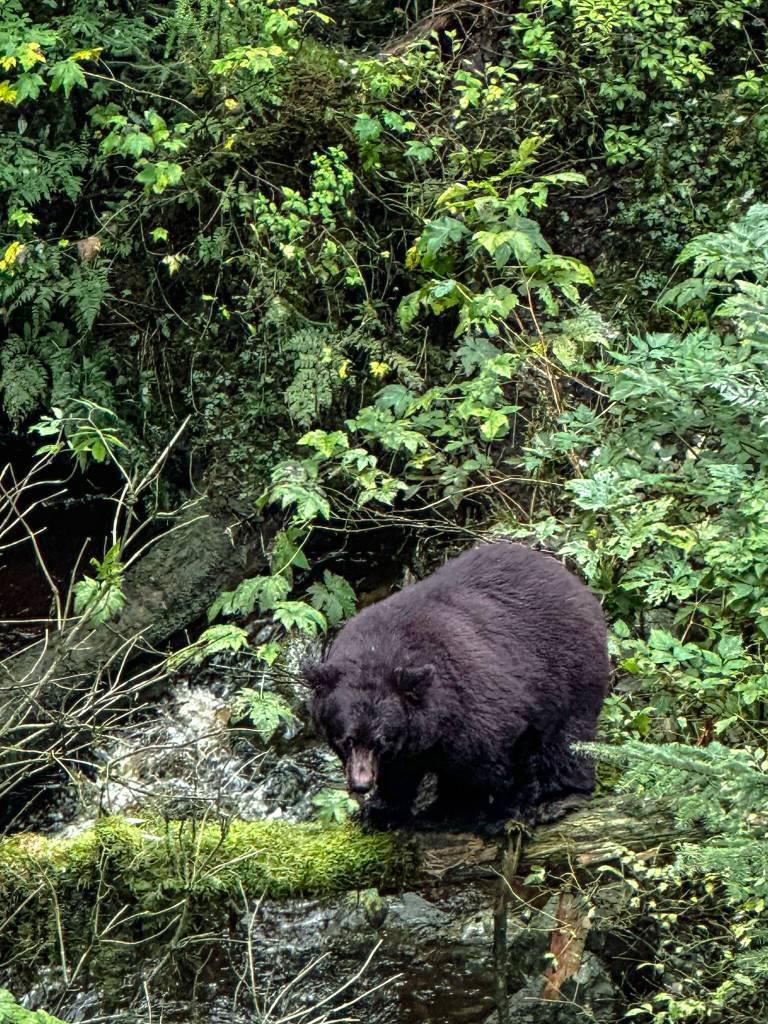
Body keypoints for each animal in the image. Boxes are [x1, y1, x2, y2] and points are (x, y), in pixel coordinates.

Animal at [303, 542, 610, 828]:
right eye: (346, 739)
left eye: (380, 741)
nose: (361, 783)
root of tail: (572, 580)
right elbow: (403, 772)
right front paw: (383, 811)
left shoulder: (476, 701)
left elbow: (499, 758)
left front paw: (500, 812)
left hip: (571, 668)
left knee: (567, 739)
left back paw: (559, 797)